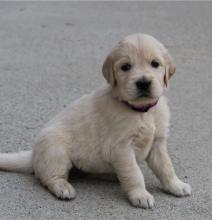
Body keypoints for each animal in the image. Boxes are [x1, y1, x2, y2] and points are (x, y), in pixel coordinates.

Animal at [0, 34, 191, 208]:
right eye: (125, 67)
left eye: (155, 64)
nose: (143, 83)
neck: (142, 111)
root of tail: (33, 155)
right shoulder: (121, 148)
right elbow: (134, 173)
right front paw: (140, 195)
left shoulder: (157, 142)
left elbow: (166, 166)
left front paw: (176, 185)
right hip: (55, 149)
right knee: (48, 177)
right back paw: (63, 188)